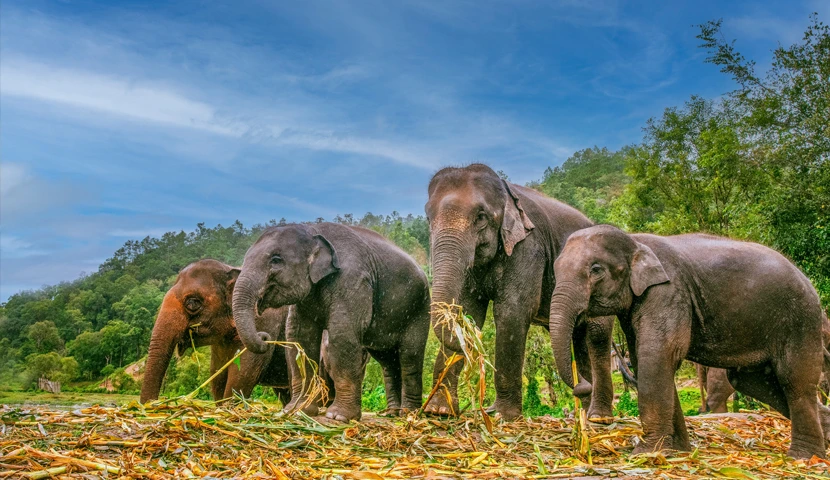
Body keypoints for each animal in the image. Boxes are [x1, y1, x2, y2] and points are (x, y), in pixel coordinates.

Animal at [137, 258, 292, 404]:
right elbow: (217, 375)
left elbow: (242, 376)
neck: (230, 269)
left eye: (192, 303)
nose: (265, 338)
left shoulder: (263, 321)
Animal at [232, 223, 432, 422]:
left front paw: (338, 417)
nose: (264, 337)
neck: (312, 230)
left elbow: (342, 334)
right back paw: (393, 413)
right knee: (387, 361)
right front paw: (296, 411)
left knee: (410, 355)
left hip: (420, 308)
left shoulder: (352, 280)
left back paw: (408, 414)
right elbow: (299, 337)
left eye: (276, 260)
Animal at [422, 164, 616, 420]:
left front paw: (502, 416)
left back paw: (598, 417)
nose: (472, 342)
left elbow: (512, 311)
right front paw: (439, 411)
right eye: (428, 217)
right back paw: (583, 413)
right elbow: (470, 309)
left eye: (481, 217)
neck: (506, 192)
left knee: (597, 337)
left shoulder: (529, 247)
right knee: (579, 338)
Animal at [548, 223, 828, 460]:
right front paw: (678, 449)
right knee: (754, 381)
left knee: (794, 381)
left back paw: (803, 457)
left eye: (596, 270)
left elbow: (657, 354)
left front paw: (647, 453)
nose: (582, 386)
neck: (635, 241)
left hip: (800, 321)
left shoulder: (668, 292)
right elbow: (644, 358)